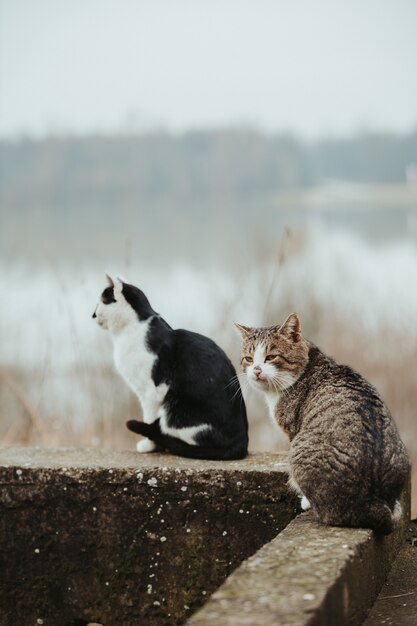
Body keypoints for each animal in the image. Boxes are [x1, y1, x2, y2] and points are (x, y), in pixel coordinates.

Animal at [92, 272, 247, 458]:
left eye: (102, 301)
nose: (92, 314)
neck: (133, 328)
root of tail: (242, 443)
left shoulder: (151, 392)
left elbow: (149, 418)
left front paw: (150, 446)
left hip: (175, 410)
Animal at [236, 312, 408, 532]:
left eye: (271, 357)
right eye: (248, 359)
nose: (256, 370)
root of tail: (371, 500)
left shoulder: (293, 430)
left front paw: (303, 500)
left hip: (299, 450)